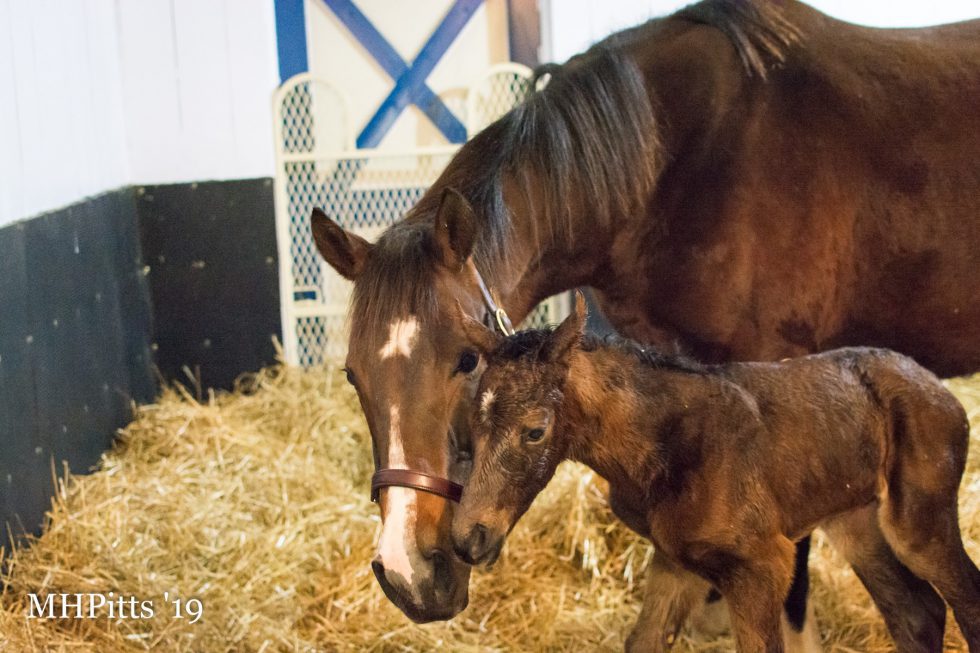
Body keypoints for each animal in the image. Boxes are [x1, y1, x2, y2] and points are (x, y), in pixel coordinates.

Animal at [452, 294, 980, 653]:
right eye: (470, 426)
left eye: (535, 431)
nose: (468, 539)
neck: (664, 444)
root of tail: (943, 394)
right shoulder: (676, 561)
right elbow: (643, 641)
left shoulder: (763, 566)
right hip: (856, 521)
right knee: (917, 613)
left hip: (918, 521)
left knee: (963, 598)